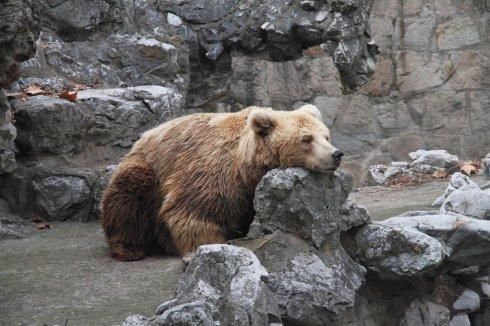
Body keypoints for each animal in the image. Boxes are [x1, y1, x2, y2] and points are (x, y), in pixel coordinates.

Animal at [101, 104, 342, 260]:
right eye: (306, 139)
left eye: (326, 136)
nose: (336, 154)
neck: (246, 167)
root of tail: (141, 138)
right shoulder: (213, 173)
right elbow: (195, 212)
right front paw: (209, 245)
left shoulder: (246, 191)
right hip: (147, 170)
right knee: (129, 193)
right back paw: (129, 248)